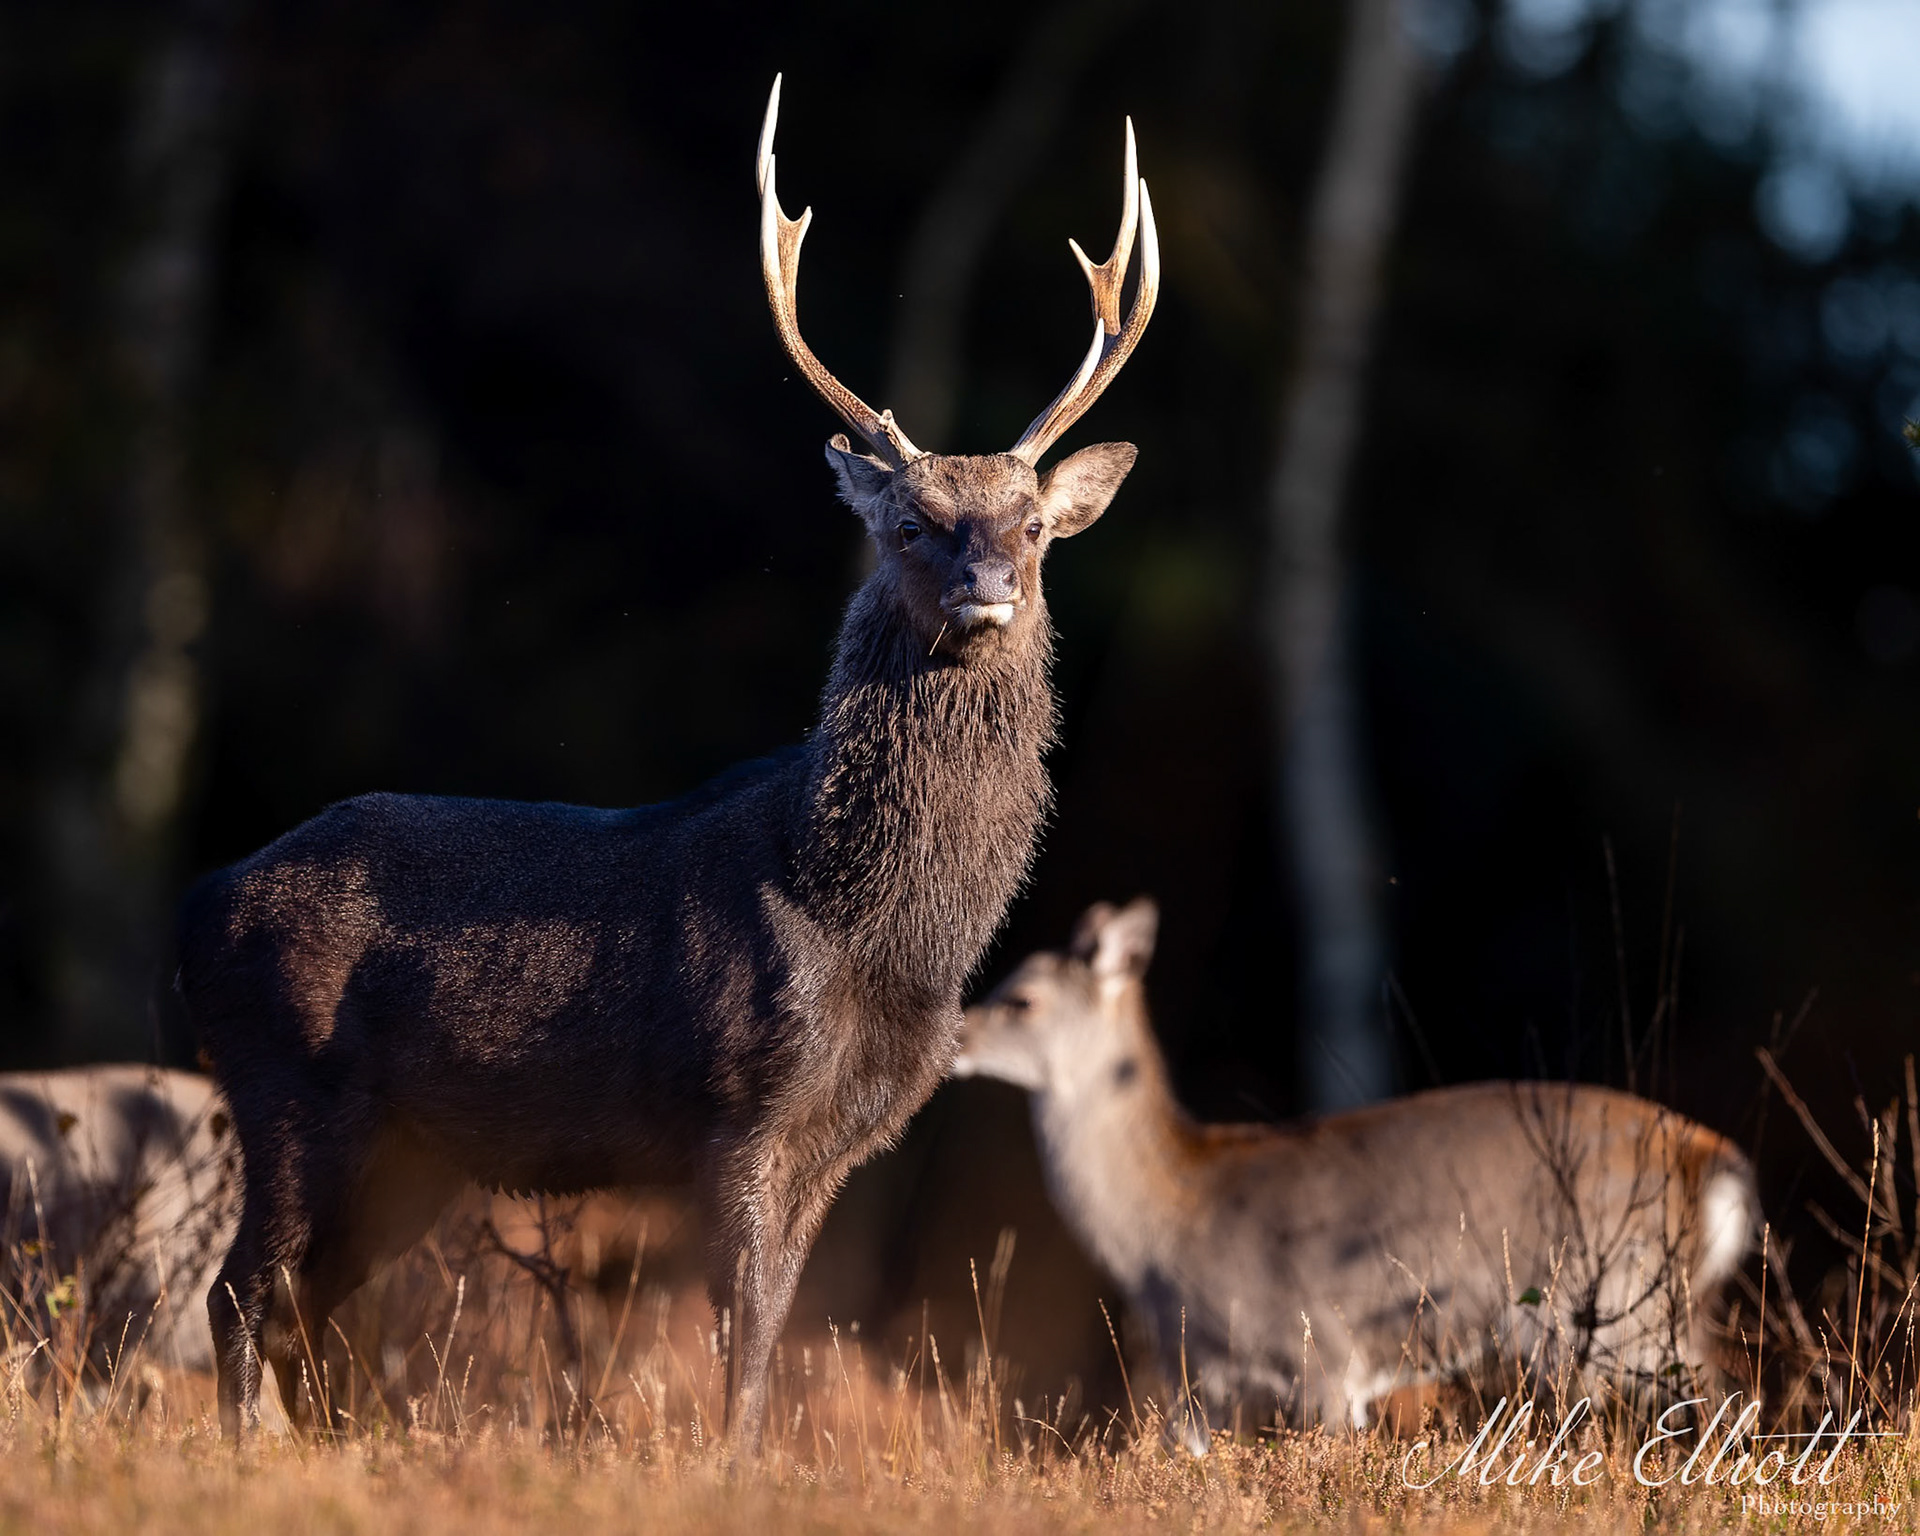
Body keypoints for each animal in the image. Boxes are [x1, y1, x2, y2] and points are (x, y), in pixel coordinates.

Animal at [174, 76, 1160, 1447]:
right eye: (914, 524)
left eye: (1031, 528)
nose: (988, 594)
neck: (866, 925)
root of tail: (195, 909)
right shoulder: (737, 1103)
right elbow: (740, 1346)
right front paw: (730, 1467)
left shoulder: (845, 1138)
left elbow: (774, 1328)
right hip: (287, 1086)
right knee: (237, 1292)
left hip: (407, 1151)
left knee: (302, 1312)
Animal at [951, 899, 1760, 1451]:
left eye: (1021, 999)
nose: (953, 1038)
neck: (1169, 1223)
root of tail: (1711, 1161)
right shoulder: (1197, 1379)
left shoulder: (1321, 1353)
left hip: (1618, 1303)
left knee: (1720, 1401)